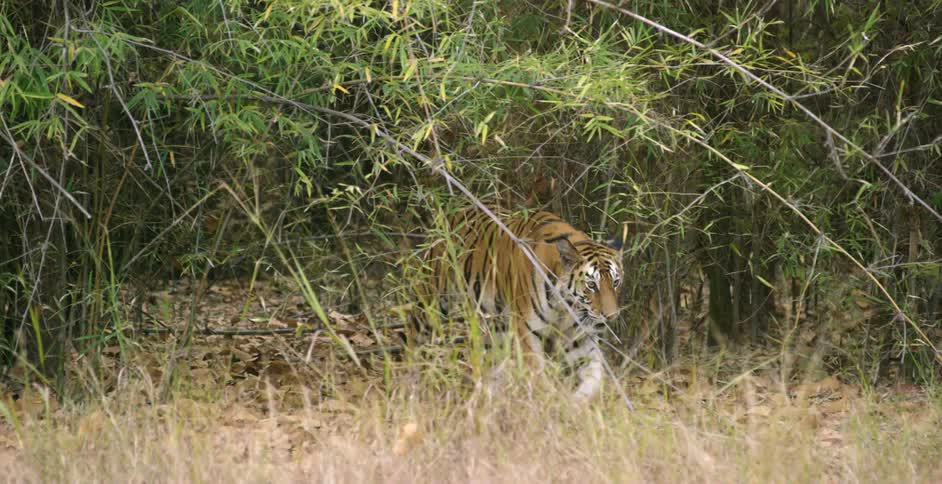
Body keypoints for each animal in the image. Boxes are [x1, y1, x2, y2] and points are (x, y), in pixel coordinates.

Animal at [410, 205, 624, 400]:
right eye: (591, 285)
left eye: (615, 282)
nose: (611, 316)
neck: (565, 307)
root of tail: (448, 214)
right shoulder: (527, 334)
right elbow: (541, 381)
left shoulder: (581, 339)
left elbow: (594, 379)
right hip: (429, 309)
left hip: (495, 332)